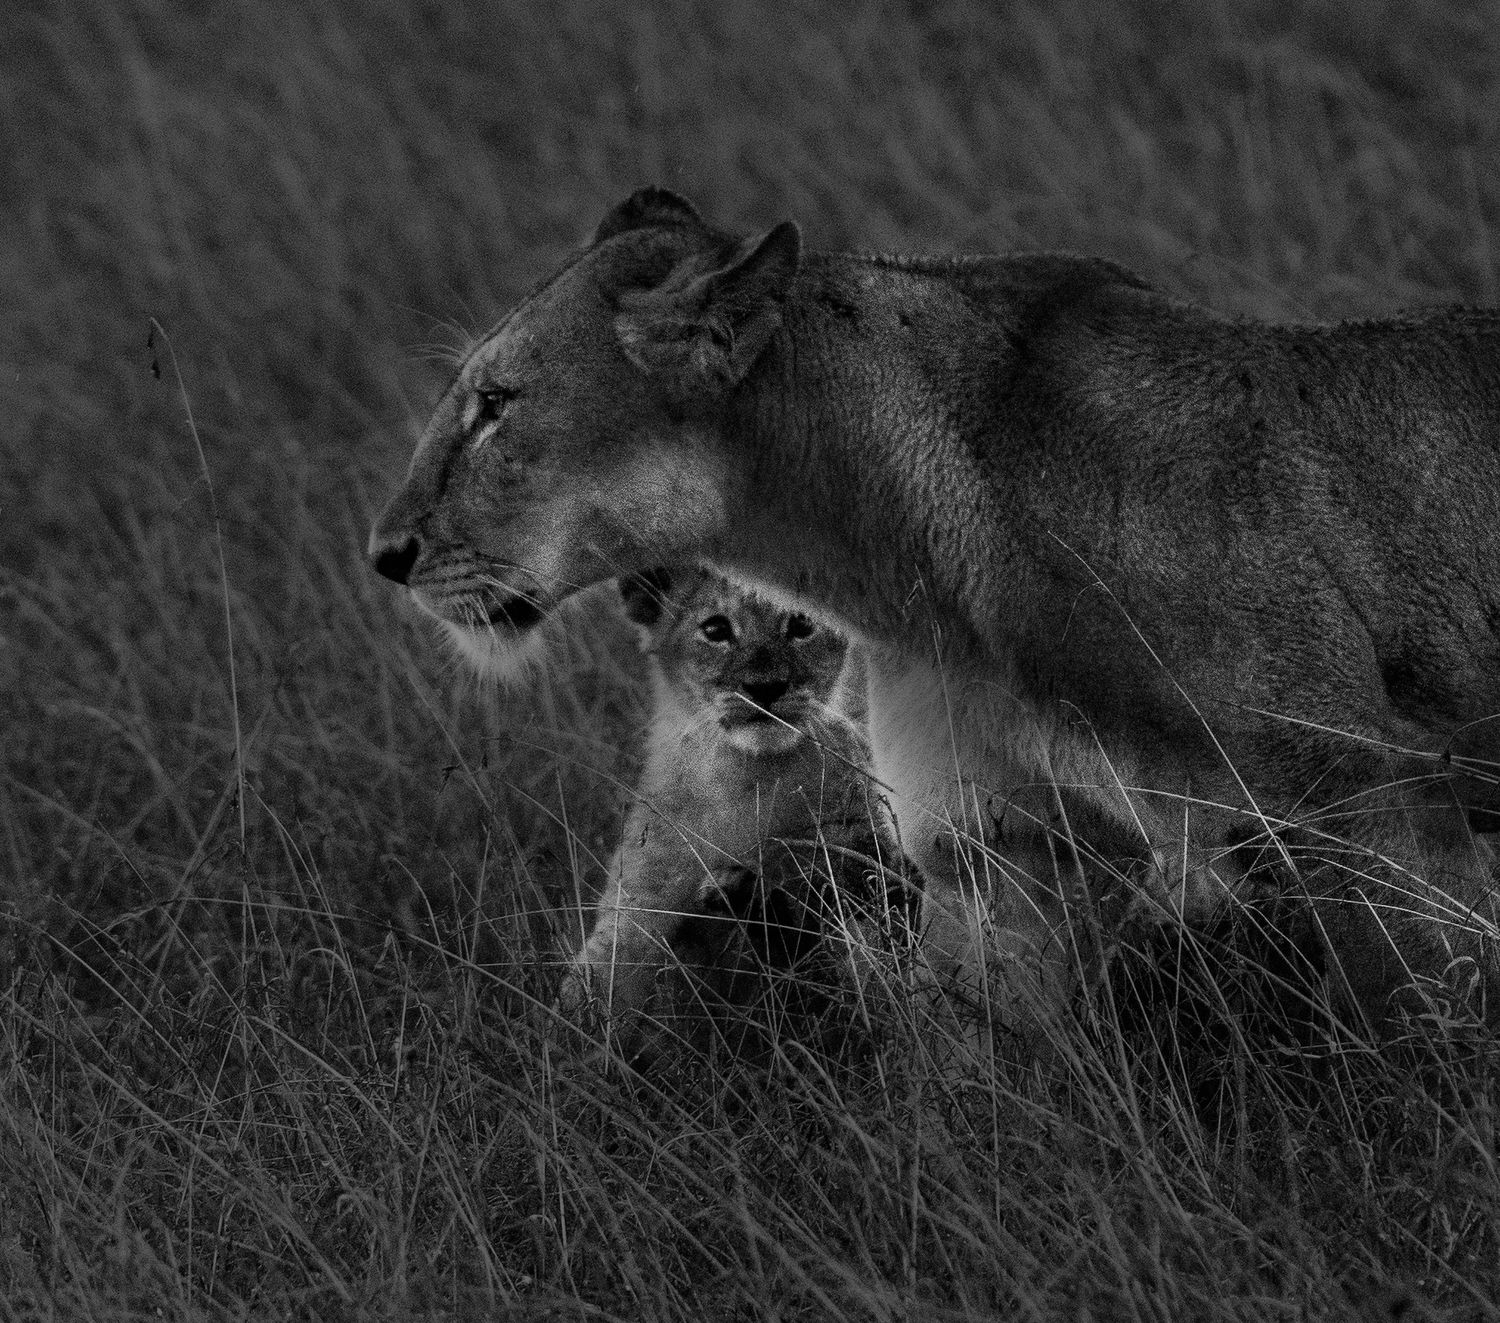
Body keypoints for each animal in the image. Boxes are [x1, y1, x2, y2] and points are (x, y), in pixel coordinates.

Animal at [557, 565, 887, 1043]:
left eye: (801, 624)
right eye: (715, 630)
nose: (765, 687)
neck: (746, 777)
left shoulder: (873, 844)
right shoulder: (637, 904)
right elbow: (602, 981)